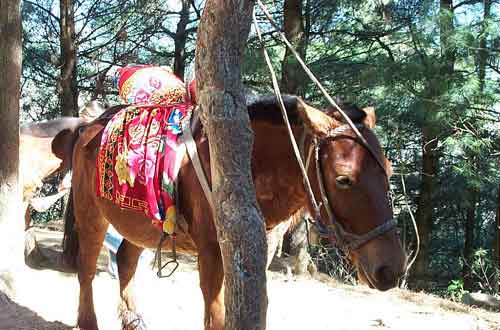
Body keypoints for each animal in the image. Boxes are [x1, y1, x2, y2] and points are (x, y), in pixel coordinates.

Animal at [52, 94, 408, 330]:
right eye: (344, 179)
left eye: (389, 171)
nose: (391, 269)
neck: (244, 165)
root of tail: (90, 126)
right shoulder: (212, 252)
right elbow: (216, 315)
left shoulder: (256, 252)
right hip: (91, 213)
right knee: (86, 268)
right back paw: (88, 320)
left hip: (140, 224)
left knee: (125, 261)